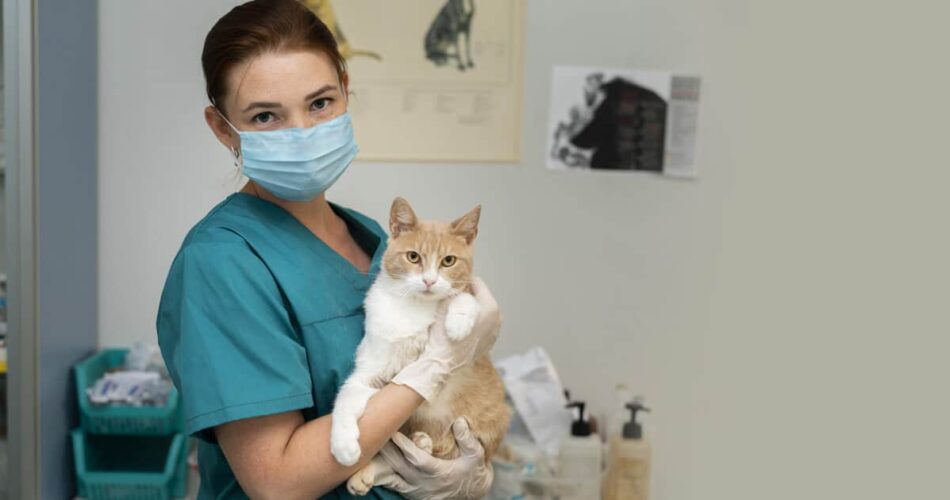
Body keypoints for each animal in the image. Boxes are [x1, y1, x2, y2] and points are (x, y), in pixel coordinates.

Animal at [330, 197, 510, 494]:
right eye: (413, 256)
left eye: (448, 261)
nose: (429, 280)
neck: (413, 306)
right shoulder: (370, 373)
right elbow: (346, 397)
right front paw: (343, 444)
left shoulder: (467, 294)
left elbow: (462, 297)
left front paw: (458, 323)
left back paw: (423, 447)